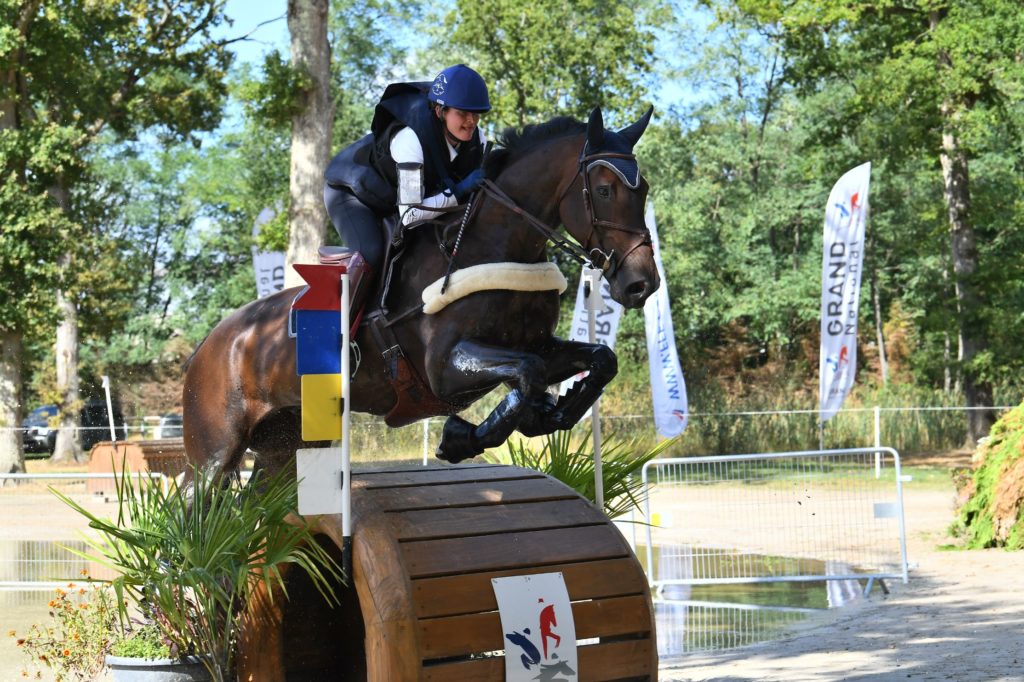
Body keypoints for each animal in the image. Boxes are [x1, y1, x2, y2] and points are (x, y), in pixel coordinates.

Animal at [180, 106, 659, 477]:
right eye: (604, 189)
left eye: (645, 190)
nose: (642, 284)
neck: (495, 243)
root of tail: (208, 344)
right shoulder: (443, 368)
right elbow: (527, 372)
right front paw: (459, 438)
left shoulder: (536, 344)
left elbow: (599, 360)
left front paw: (558, 410)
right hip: (214, 453)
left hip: (286, 446)